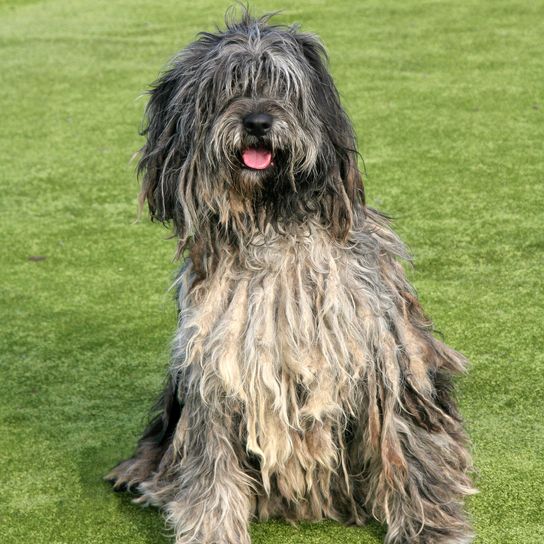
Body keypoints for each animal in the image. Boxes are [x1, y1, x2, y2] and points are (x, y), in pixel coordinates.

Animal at [106, 9, 476, 544]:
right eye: (226, 87)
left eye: (281, 86)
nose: (258, 122)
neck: (272, 220)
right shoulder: (214, 373)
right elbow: (211, 469)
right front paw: (212, 529)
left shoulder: (385, 358)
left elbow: (409, 449)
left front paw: (431, 527)